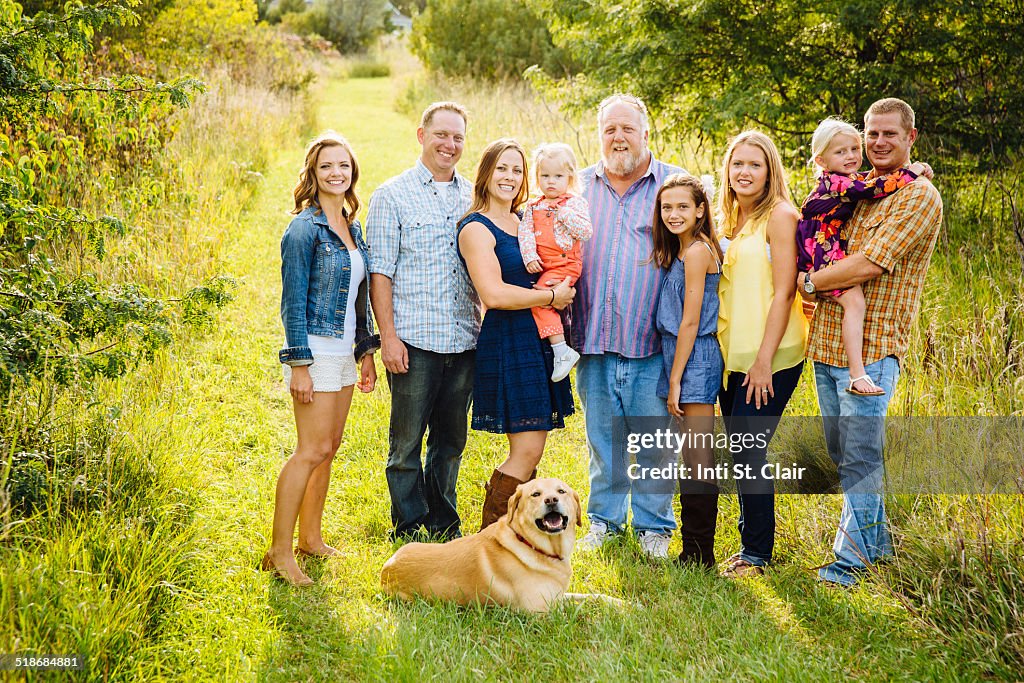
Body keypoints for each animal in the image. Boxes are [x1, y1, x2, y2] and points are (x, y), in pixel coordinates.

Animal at [380, 475, 610, 614]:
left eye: (561, 491)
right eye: (536, 494)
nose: (552, 500)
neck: (532, 544)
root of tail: (386, 570)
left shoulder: (558, 596)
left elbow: (594, 597)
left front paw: (618, 604)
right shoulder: (539, 611)